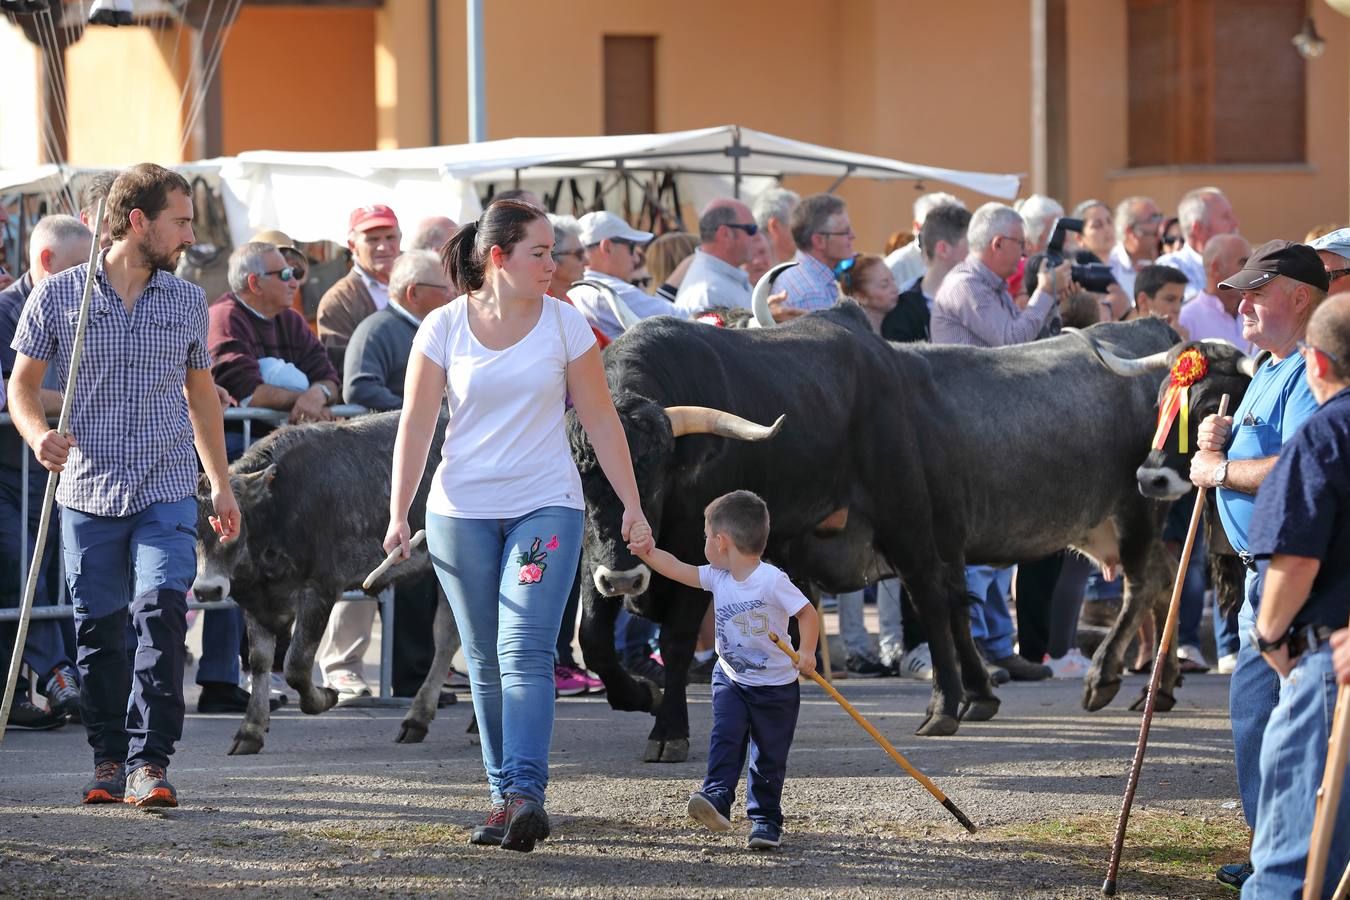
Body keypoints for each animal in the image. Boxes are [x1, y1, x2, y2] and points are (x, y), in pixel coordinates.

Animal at [190, 412, 461, 755]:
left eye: (231, 527)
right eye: (188, 530)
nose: (206, 590)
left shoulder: (320, 589)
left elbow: (296, 664)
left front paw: (325, 697)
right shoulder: (256, 602)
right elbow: (261, 662)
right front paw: (251, 729)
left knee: (449, 637)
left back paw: (422, 718)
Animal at [575, 304, 1188, 761]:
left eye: (654, 477)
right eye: (582, 474)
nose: (624, 578)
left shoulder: (692, 555)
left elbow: (678, 641)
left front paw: (668, 730)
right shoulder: (596, 558)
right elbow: (594, 638)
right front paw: (638, 692)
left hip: (920, 512)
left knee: (941, 598)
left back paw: (961, 704)